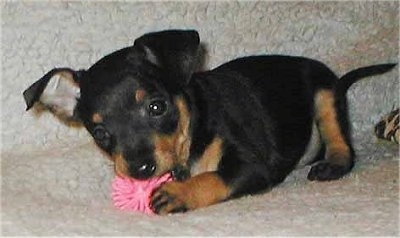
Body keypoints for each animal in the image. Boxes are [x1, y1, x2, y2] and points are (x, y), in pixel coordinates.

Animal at [23, 29, 396, 214]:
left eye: (157, 107)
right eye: (100, 133)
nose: (140, 169)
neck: (192, 130)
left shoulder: (252, 166)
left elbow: (215, 177)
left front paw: (178, 193)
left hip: (324, 93)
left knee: (341, 141)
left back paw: (332, 164)